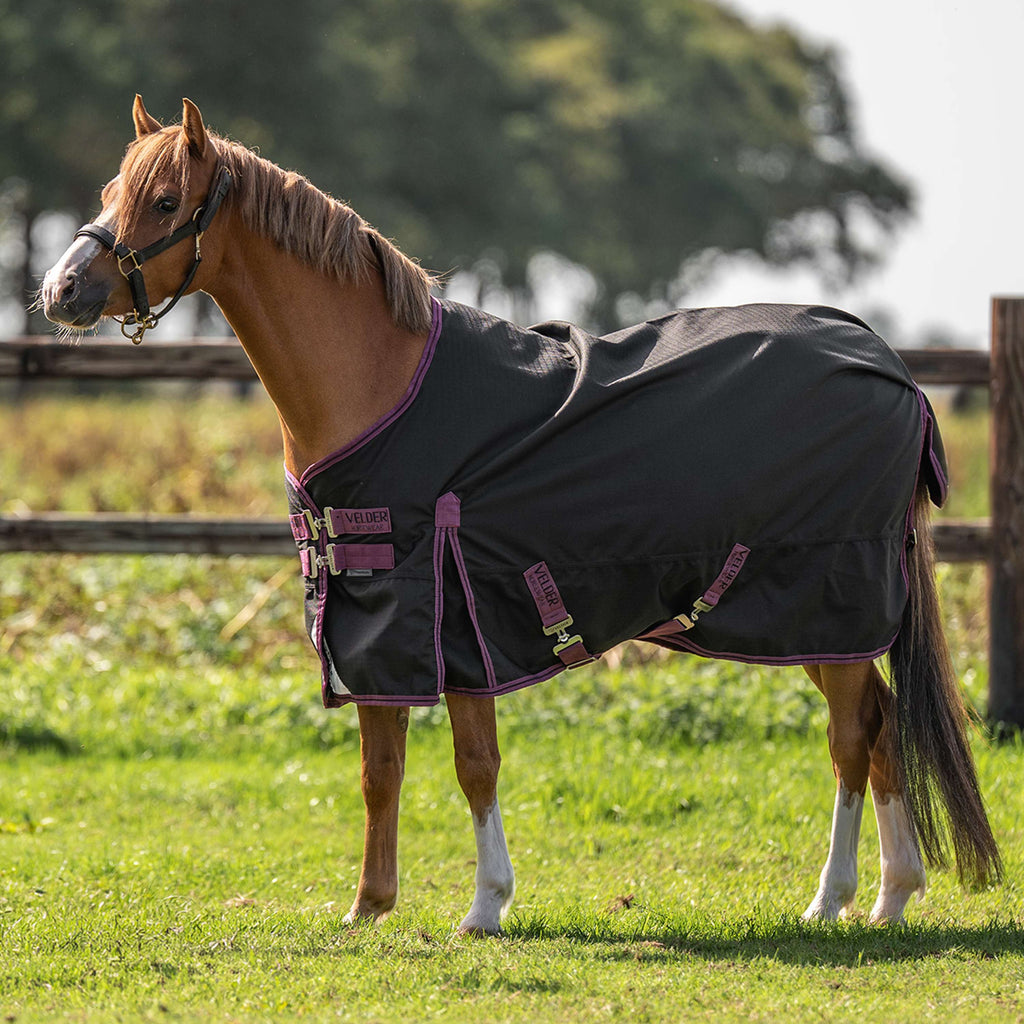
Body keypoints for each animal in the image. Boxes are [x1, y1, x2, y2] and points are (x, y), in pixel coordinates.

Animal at [42, 97, 1001, 935]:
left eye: (166, 201)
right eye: (109, 192)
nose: (61, 291)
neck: (380, 383)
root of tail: (889, 367)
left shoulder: (452, 610)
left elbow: (474, 766)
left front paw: (484, 907)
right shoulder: (377, 614)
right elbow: (380, 769)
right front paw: (367, 908)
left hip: (821, 601)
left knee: (854, 736)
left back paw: (832, 900)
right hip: (827, 623)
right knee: (883, 729)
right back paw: (891, 898)